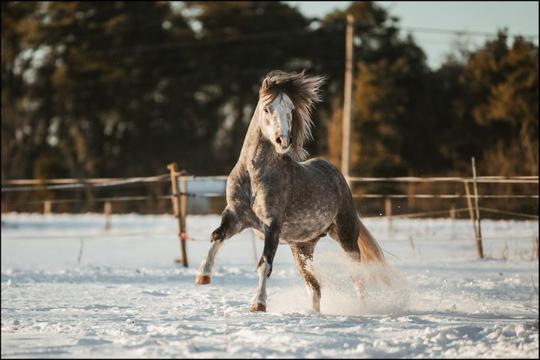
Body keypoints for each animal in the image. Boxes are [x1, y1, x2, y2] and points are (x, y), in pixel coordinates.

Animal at [194, 70, 384, 312]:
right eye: (267, 108)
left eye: (290, 109)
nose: (283, 140)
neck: (254, 174)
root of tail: (337, 176)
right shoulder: (237, 216)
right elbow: (216, 236)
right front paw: (203, 275)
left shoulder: (272, 224)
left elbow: (265, 264)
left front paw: (259, 304)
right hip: (302, 248)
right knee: (314, 287)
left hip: (346, 235)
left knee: (357, 277)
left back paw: (363, 308)